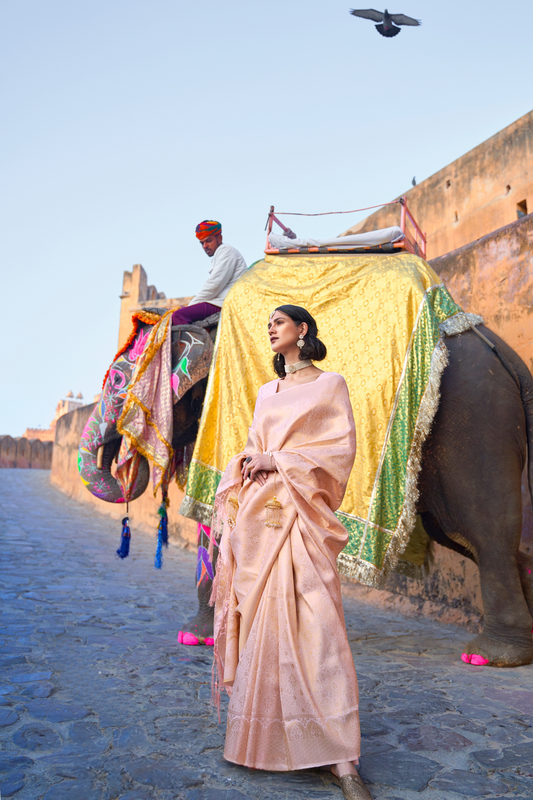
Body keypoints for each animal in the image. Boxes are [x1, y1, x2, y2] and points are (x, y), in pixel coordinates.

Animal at [79, 312, 532, 668]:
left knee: (485, 528)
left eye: (117, 380)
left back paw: (488, 655)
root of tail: (505, 355)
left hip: (475, 418)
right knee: (478, 536)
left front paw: (199, 637)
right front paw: (205, 634)